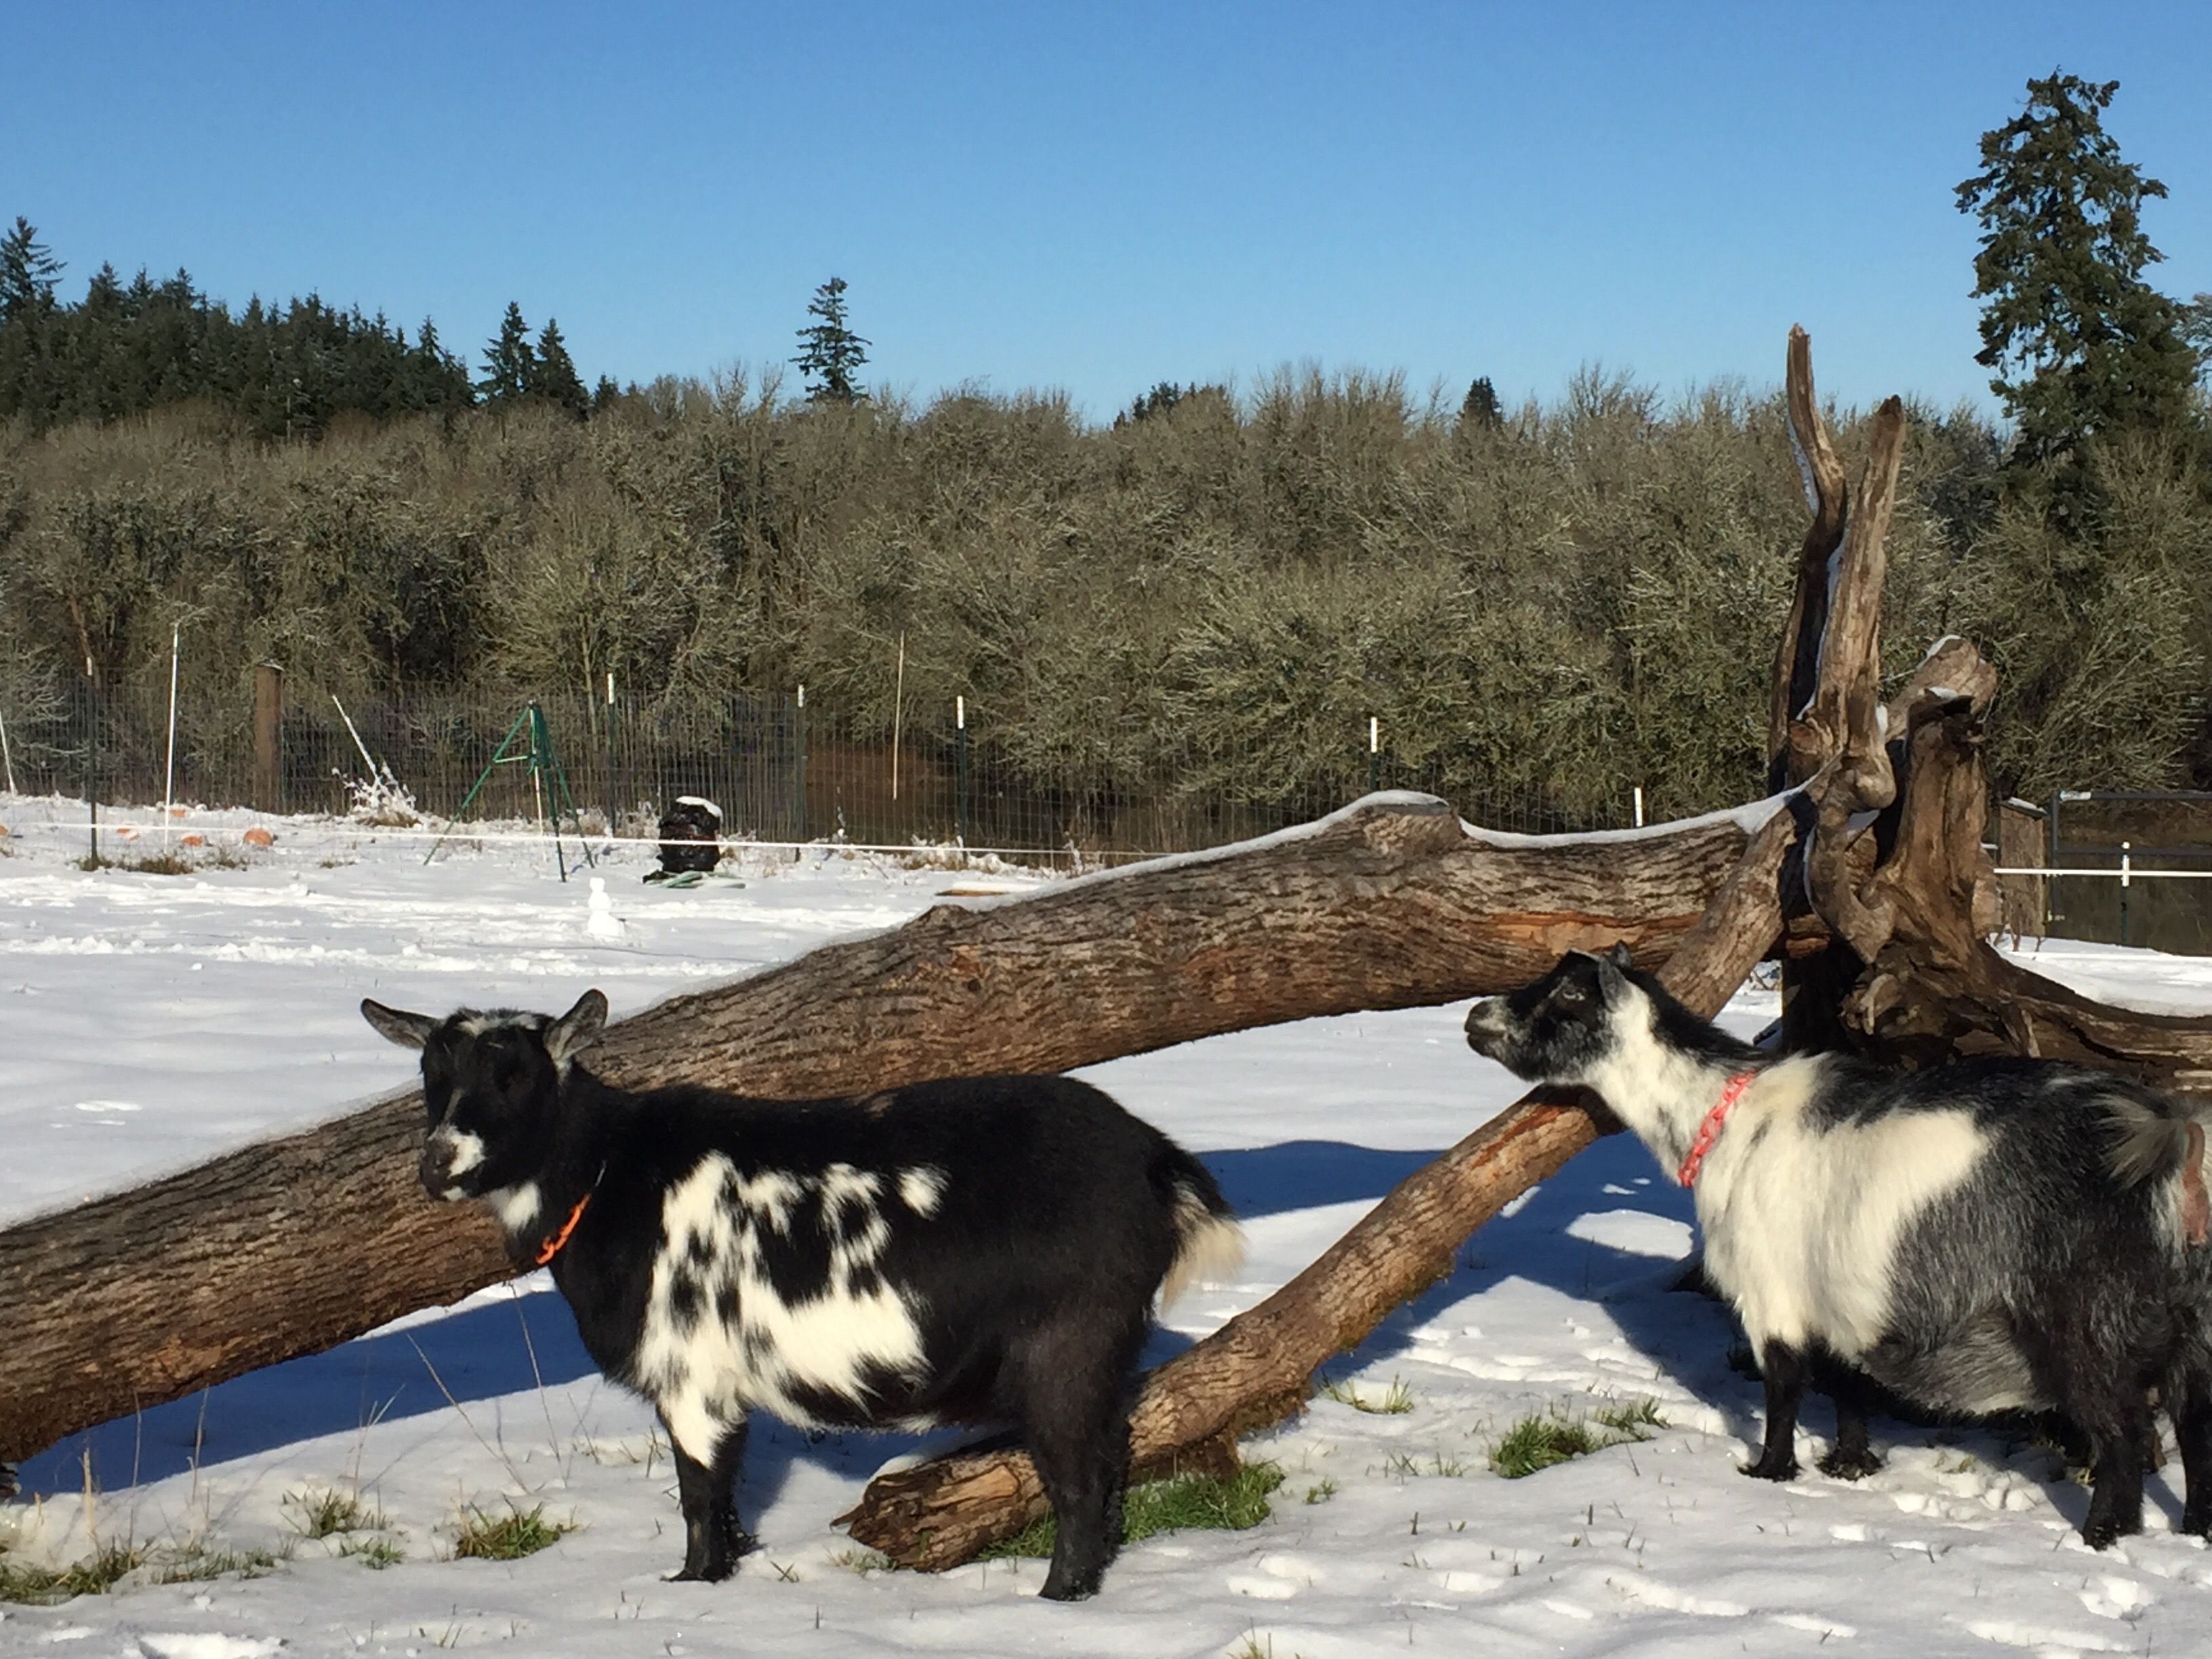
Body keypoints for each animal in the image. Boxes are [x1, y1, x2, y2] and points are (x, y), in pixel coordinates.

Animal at [354, 995, 1238, 1601]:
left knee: (1080, 1479)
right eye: (432, 1076)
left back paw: (1059, 1597)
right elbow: (727, 1491)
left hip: (1066, 1347)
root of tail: (1155, 1164)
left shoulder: (690, 1376)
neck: (609, 1175)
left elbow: (700, 1492)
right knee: (1112, 1460)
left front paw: (694, 1583)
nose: (438, 1163)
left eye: (516, 1076)